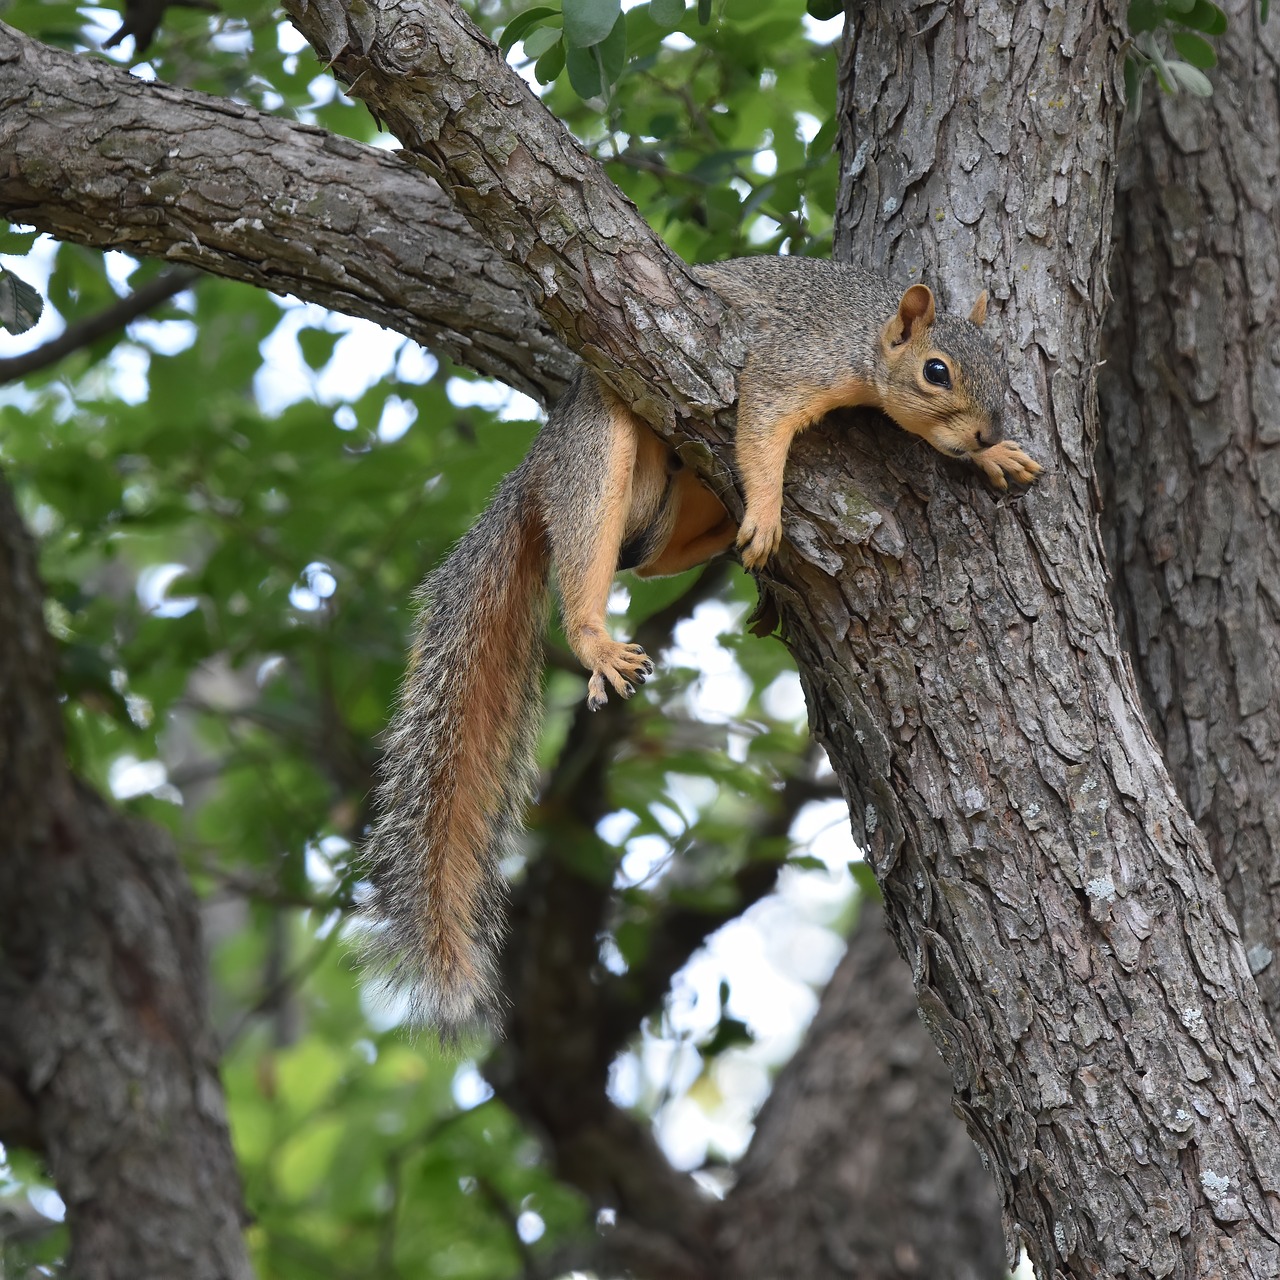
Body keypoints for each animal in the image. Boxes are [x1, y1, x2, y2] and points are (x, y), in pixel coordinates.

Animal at [361, 256, 1041, 1036]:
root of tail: (540, 460)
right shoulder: (785, 364)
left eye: (1001, 365)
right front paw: (770, 510)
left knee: (650, 557)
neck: (865, 336)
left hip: (662, 506)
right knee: (598, 543)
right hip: (601, 448)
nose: (988, 434)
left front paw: (1000, 460)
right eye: (936, 371)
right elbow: (761, 431)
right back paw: (599, 639)